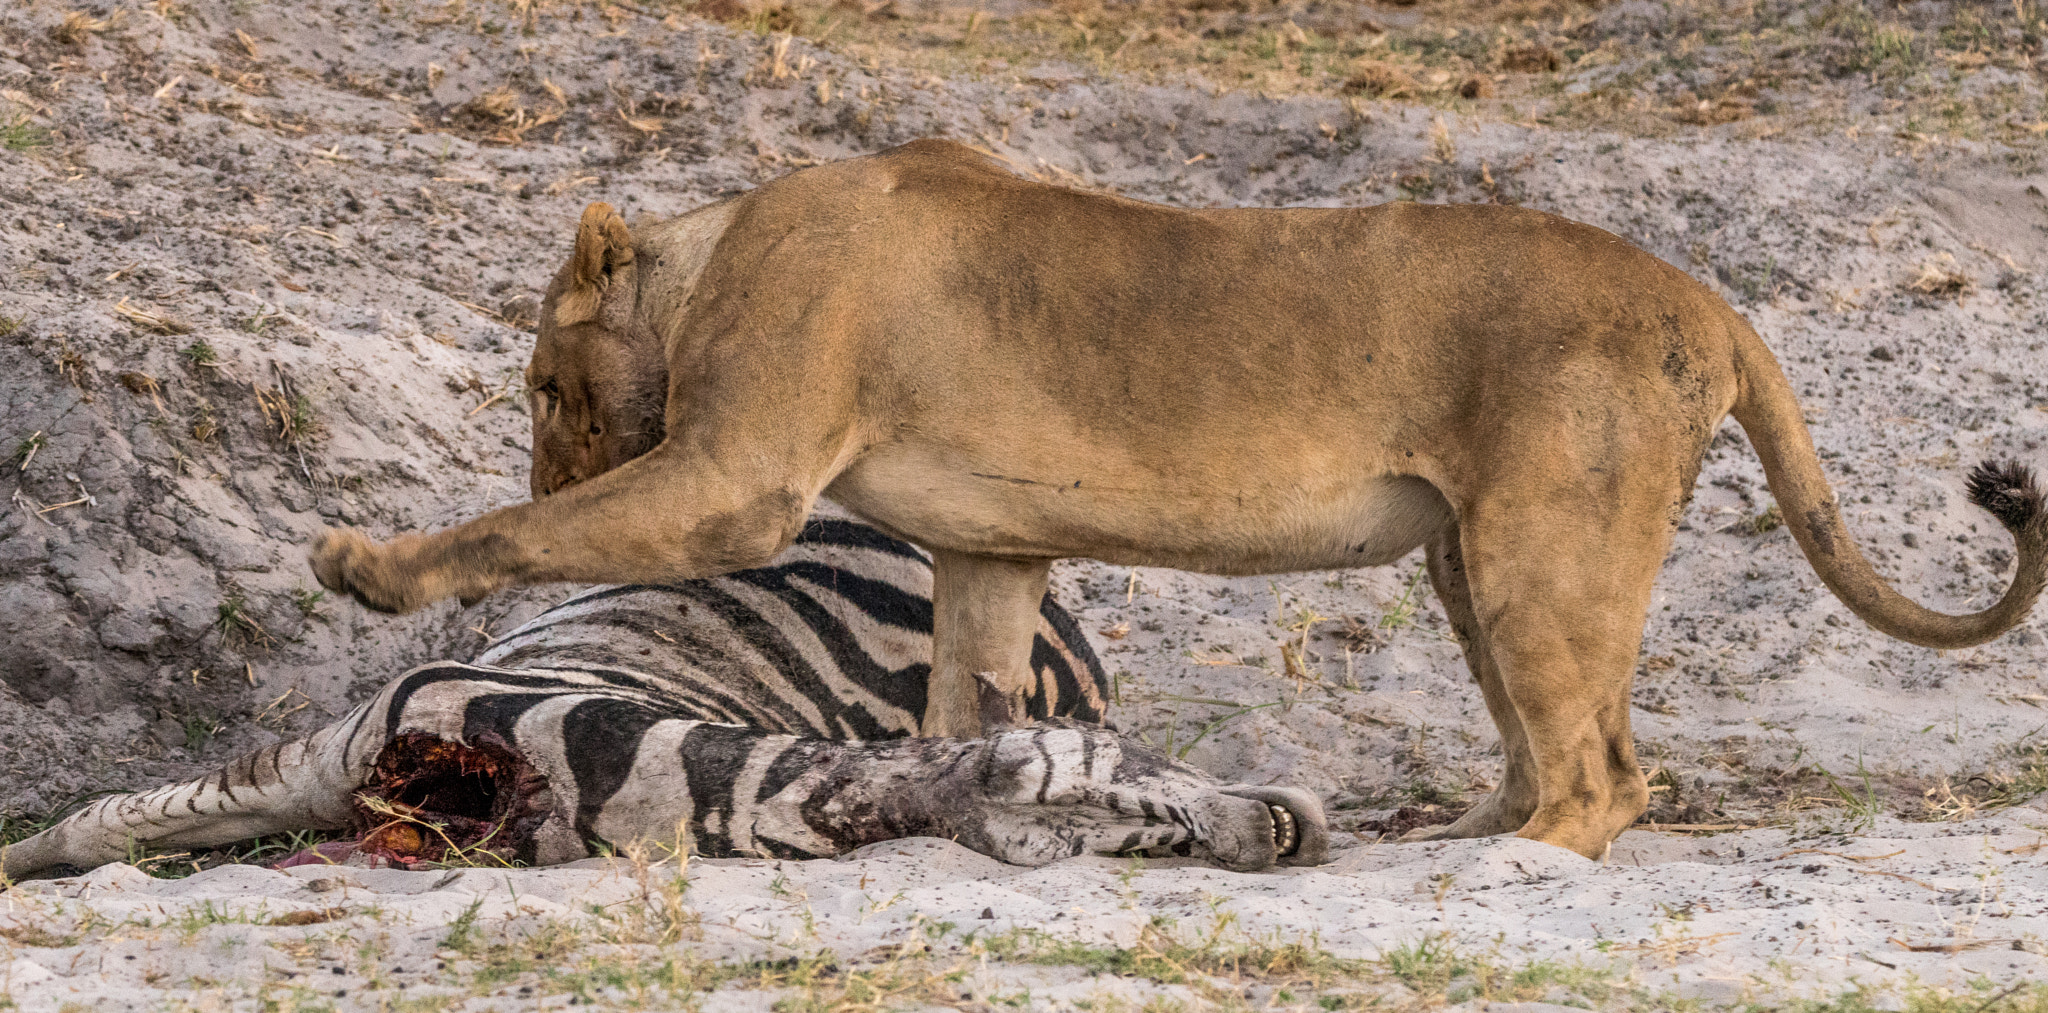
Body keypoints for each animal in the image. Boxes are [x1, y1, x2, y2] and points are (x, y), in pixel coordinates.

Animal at [311, 139, 2039, 859]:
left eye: (543, 385)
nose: (551, 439)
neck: (722, 244)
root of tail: (1708, 298)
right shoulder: (992, 550)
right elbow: (964, 705)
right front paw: (978, 800)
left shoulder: (737, 481)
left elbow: (513, 534)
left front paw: (364, 561)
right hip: (1473, 563)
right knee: (1550, 742)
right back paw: (1455, 831)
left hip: (1545, 545)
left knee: (1609, 776)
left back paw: (1510, 864)